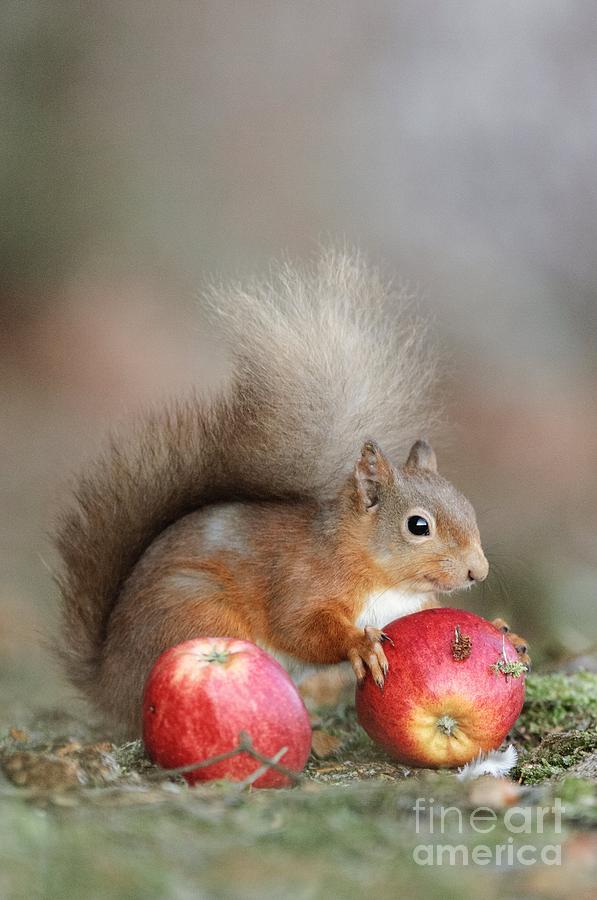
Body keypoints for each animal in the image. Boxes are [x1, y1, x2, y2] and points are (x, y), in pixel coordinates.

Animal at [52, 250, 528, 736]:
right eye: (418, 526)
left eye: (467, 507)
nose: (478, 572)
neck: (382, 576)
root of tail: (111, 683)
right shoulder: (301, 581)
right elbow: (300, 627)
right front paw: (359, 644)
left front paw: (504, 629)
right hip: (195, 615)